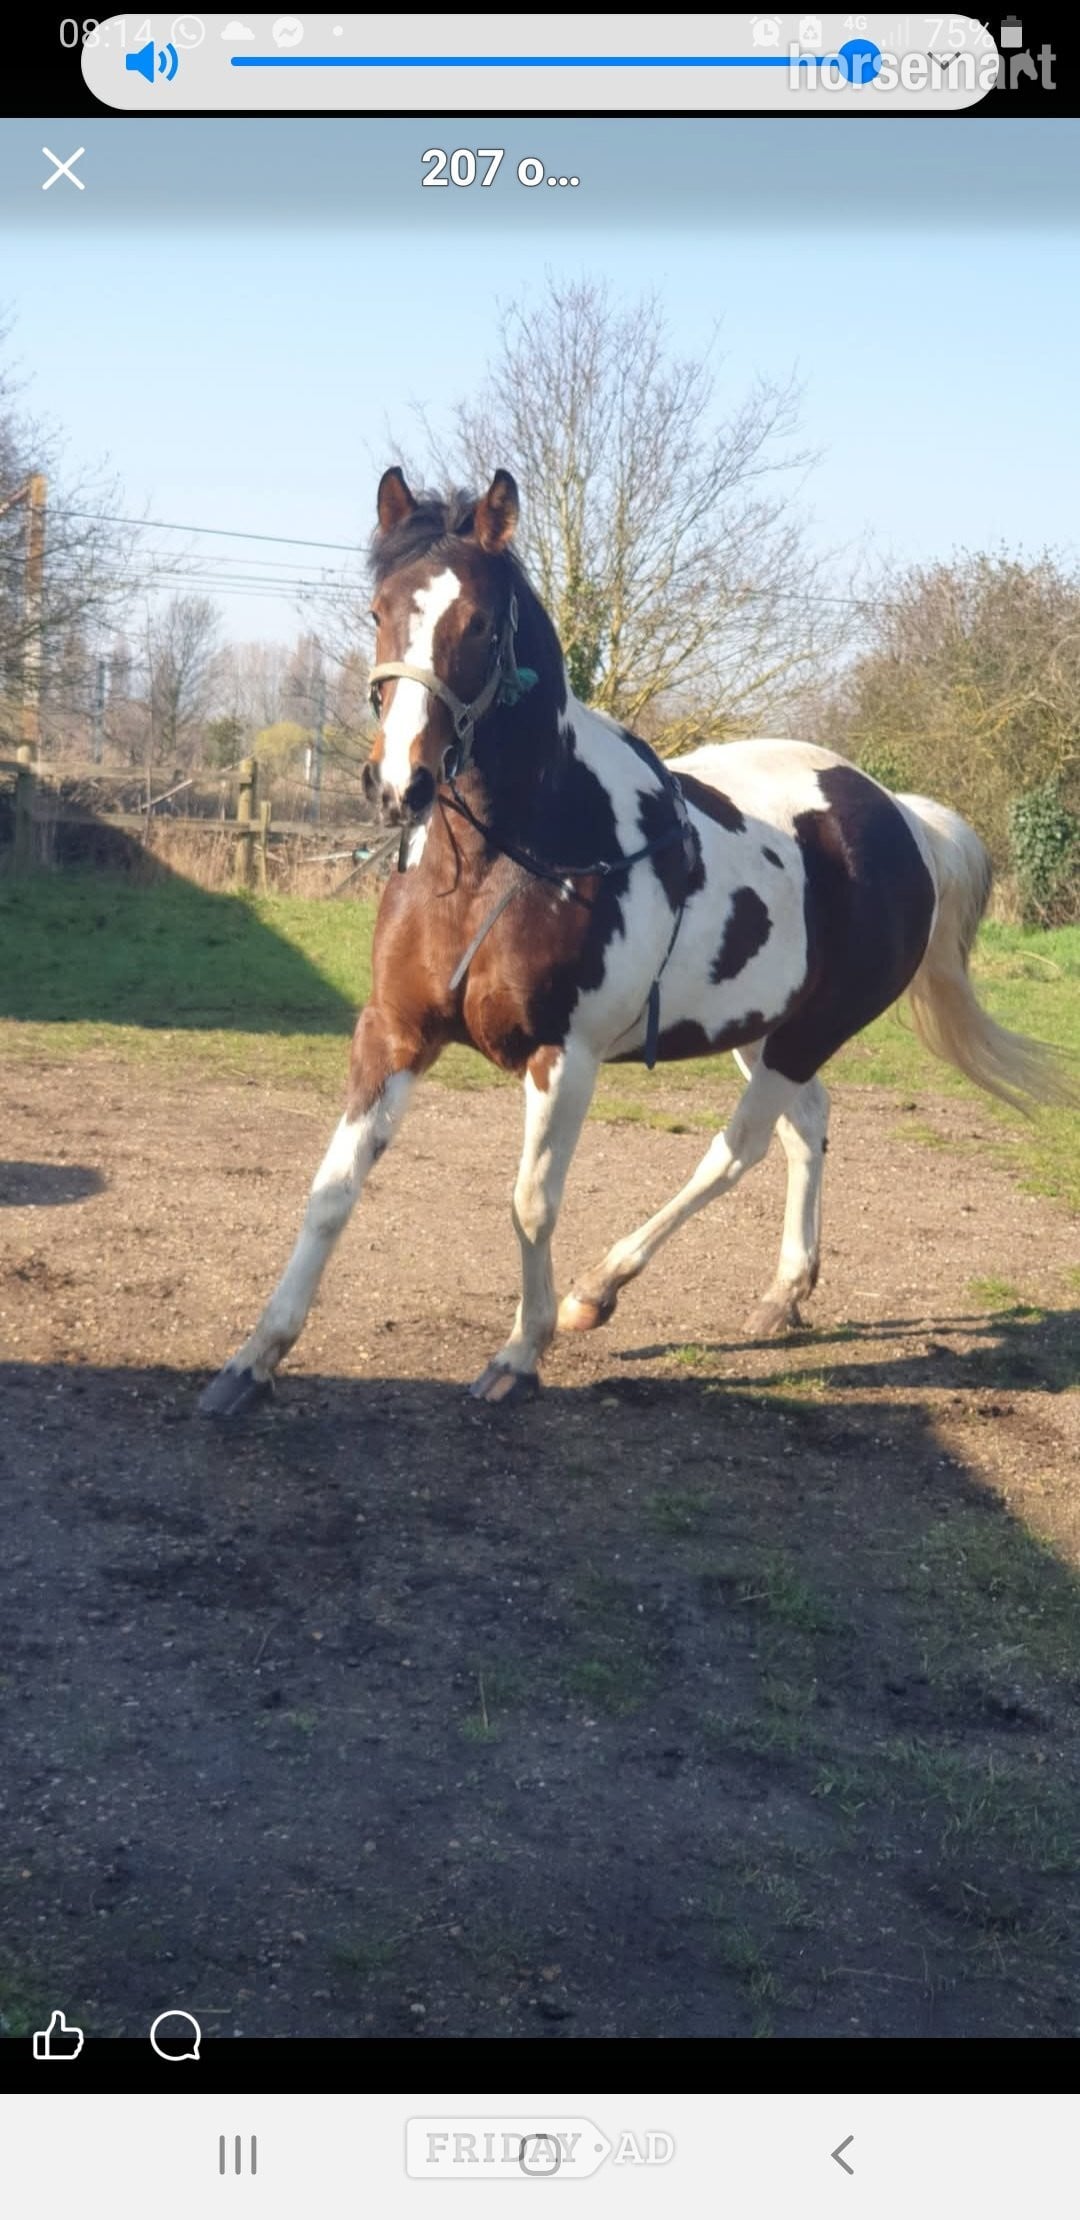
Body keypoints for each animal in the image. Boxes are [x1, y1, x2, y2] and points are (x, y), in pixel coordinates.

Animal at [199, 466, 1075, 1417]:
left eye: (481, 622)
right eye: (378, 610)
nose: (400, 783)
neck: (501, 864)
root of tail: (900, 817)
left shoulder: (564, 1056)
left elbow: (531, 1203)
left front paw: (522, 1351)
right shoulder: (393, 1033)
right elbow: (332, 1190)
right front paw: (253, 1359)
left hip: (807, 1033)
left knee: (738, 1150)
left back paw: (599, 1289)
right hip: (765, 1030)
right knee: (806, 1126)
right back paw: (784, 1292)